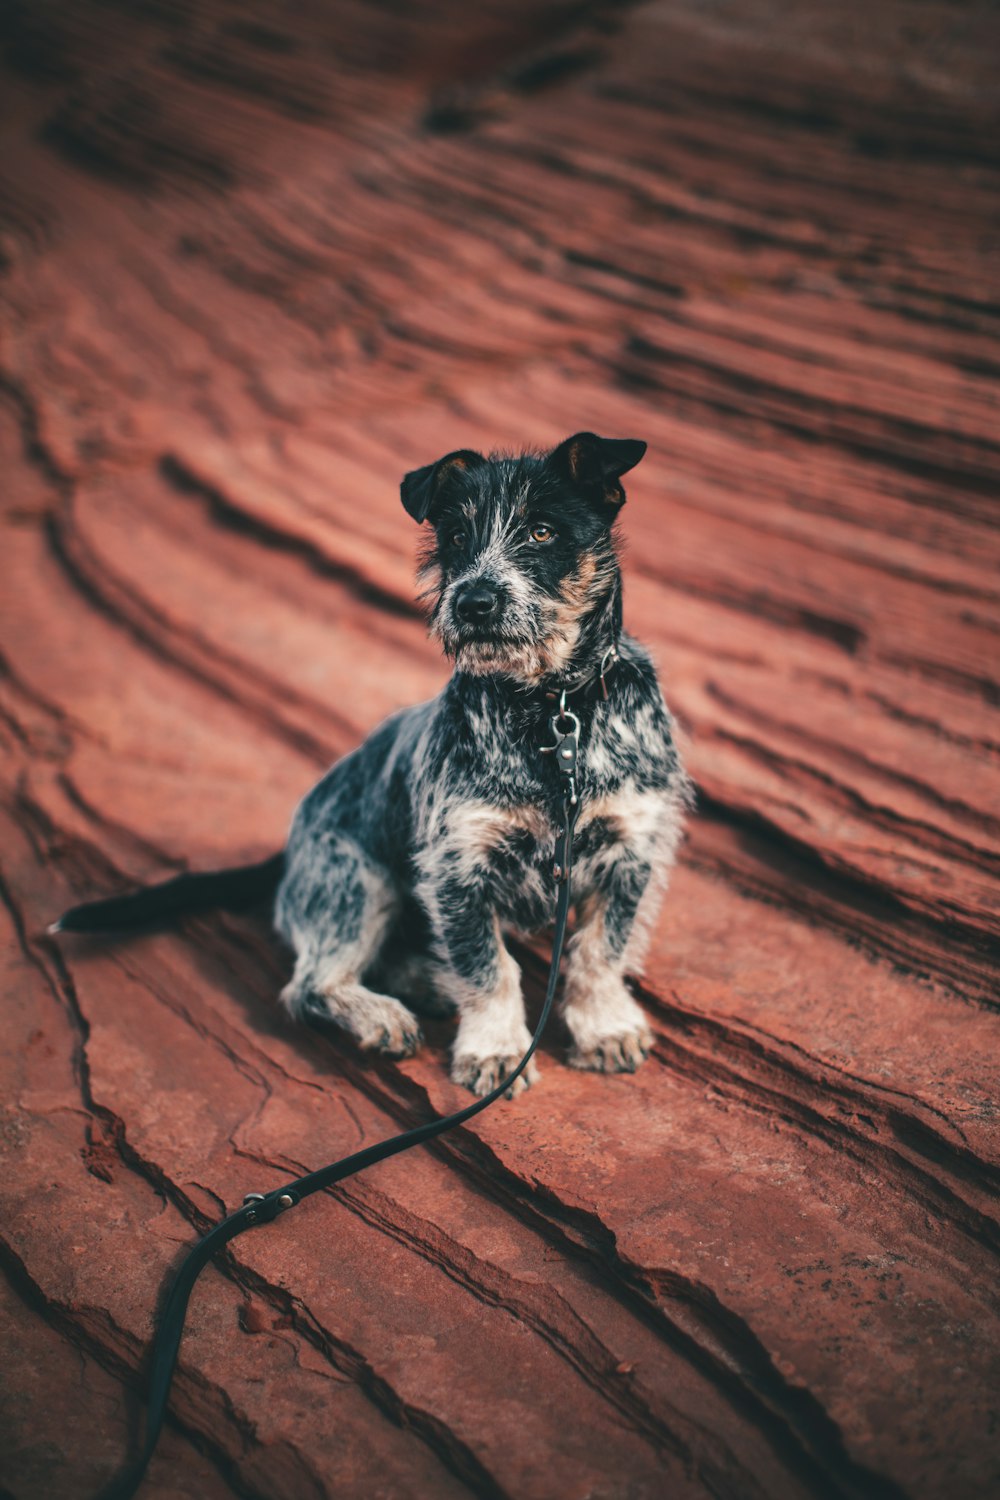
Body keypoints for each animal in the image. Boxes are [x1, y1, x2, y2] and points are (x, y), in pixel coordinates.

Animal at [56, 435, 689, 1104]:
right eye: (456, 537)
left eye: (542, 531)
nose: (474, 601)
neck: (553, 715)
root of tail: (290, 853)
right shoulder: (457, 869)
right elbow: (488, 968)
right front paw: (496, 1048)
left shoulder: (629, 851)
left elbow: (600, 955)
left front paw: (604, 1028)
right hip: (357, 882)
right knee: (311, 984)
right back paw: (384, 1013)